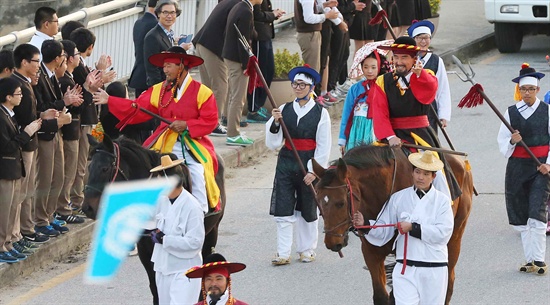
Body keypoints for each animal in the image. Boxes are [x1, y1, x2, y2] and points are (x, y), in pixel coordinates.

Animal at [83, 135, 225, 304]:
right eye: (89, 167)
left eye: (104, 168)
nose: (87, 208)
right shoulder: (144, 248)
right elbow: (155, 287)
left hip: (212, 232)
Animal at [312, 145, 476, 304]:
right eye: (318, 201)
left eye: (340, 203)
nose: (332, 242)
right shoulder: (370, 251)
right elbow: (381, 296)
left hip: (454, 236)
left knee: (448, 280)